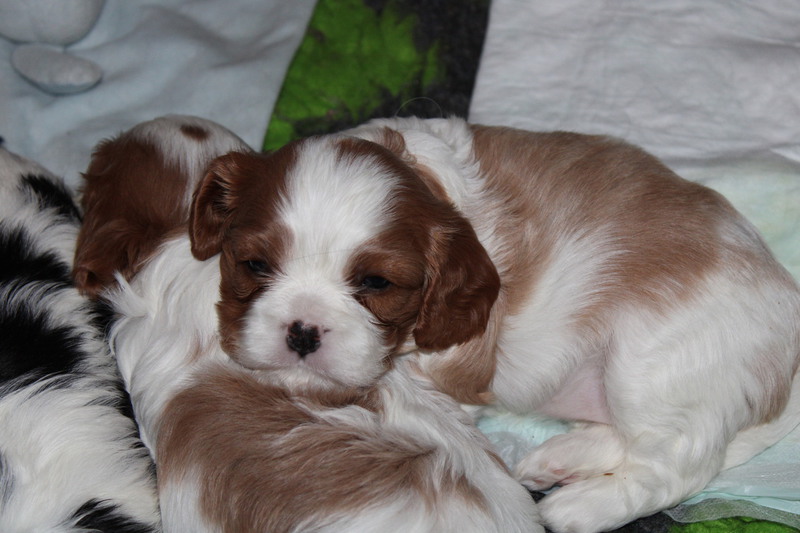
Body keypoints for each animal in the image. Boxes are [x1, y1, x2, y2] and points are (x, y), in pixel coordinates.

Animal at [186, 116, 800, 532]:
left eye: (377, 284)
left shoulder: (454, 370)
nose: (303, 332)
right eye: (255, 266)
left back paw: (582, 506)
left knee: (680, 463)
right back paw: (560, 458)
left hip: (654, 364)